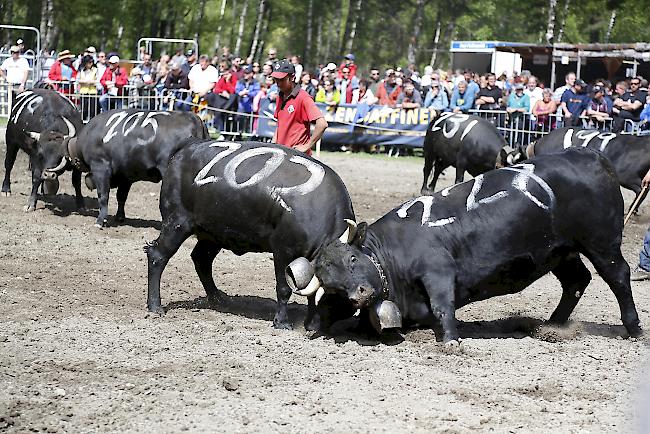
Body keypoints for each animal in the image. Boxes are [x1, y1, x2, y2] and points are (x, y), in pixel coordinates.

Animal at [36, 108, 208, 227]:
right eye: (42, 151)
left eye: (58, 152)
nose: (47, 175)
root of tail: (194, 118)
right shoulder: (127, 175)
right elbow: (121, 197)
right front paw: (120, 217)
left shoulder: (100, 169)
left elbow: (103, 195)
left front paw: (100, 220)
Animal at [146, 139, 354, 328]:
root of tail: (181, 154)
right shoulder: (283, 251)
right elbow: (284, 288)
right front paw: (282, 322)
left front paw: (311, 323)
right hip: (176, 223)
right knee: (158, 256)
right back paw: (155, 306)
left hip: (213, 233)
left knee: (201, 259)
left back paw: (218, 299)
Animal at [292, 148, 640, 342]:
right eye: (331, 286)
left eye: (352, 259)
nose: (360, 294)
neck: (392, 254)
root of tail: (591, 155)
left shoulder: (438, 270)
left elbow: (442, 306)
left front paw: (450, 340)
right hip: (560, 252)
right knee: (577, 281)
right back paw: (552, 326)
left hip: (601, 243)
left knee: (618, 276)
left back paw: (633, 328)